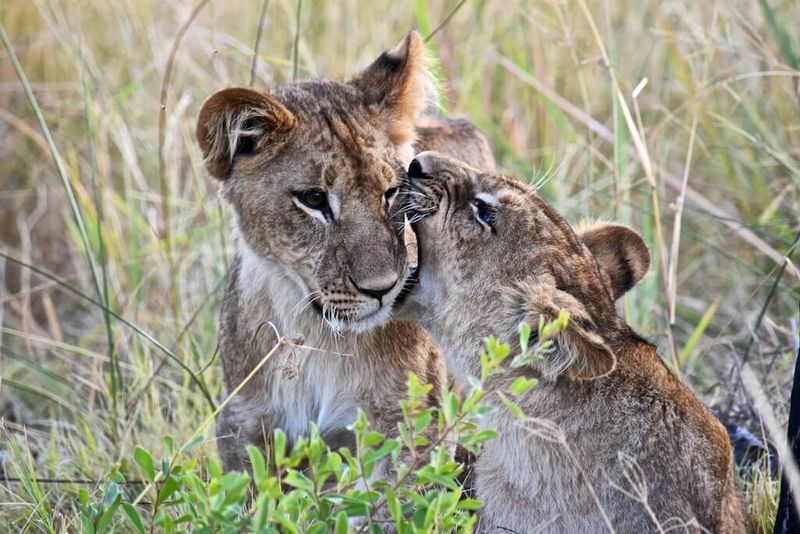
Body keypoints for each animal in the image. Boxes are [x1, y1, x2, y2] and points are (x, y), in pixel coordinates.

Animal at [194, 32, 495, 477]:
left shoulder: (409, 425)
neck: (315, 336)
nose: (383, 290)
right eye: (313, 199)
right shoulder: (245, 426)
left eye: (391, 192)